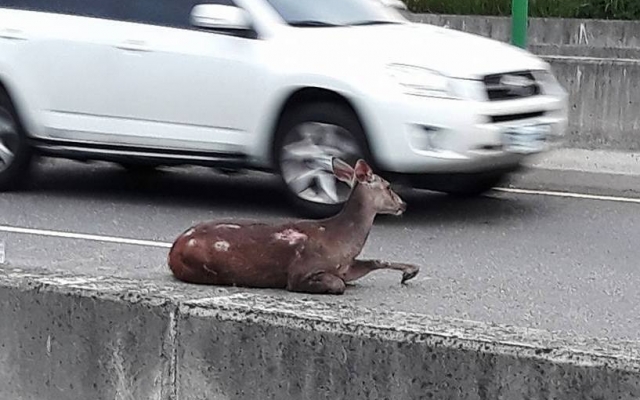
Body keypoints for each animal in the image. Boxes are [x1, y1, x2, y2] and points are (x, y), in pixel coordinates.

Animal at [166, 158, 420, 296]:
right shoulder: (302, 269)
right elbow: (338, 285)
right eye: (388, 186)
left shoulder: (347, 266)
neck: (340, 239)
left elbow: (375, 261)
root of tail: (173, 251)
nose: (404, 204)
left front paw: (411, 271)